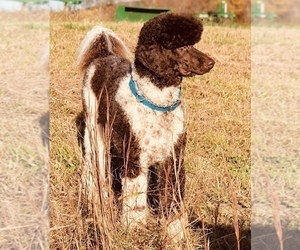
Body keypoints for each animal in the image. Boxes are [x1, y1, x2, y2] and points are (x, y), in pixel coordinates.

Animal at [76, 13, 214, 244]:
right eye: (182, 46)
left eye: (194, 44)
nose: (211, 62)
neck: (157, 104)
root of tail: (103, 56)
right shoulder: (135, 159)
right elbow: (135, 200)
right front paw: (134, 228)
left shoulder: (173, 159)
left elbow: (173, 198)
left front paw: (175, 234)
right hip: (94, 132)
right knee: (92, 169)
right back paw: (94, 196)